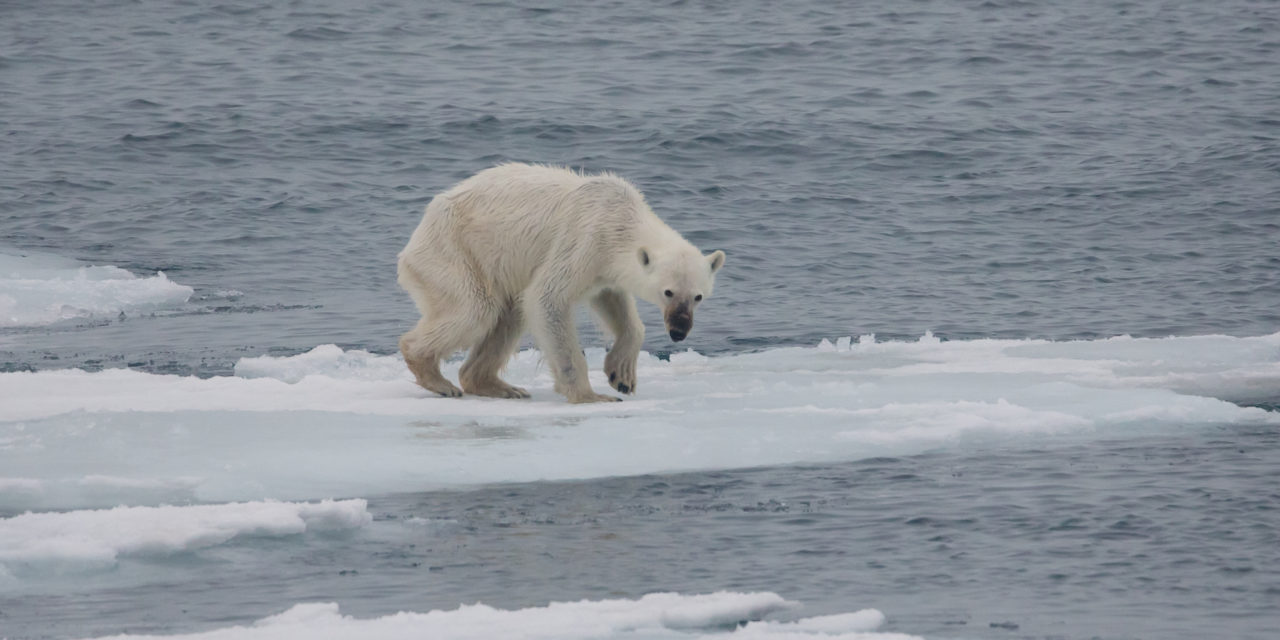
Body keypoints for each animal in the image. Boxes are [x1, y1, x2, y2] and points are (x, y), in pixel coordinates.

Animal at [394, 165, 727, 404]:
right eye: (668, 291)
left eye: (698, 296)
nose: (679, 331)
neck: (620, 218)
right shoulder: (584, 239)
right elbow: (547, 298)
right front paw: (592, 395)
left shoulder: (604, 267)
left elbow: (614, 302)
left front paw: (622, 375)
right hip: (454, 251)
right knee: (476, 309)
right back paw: (437, 378)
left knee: (509, 314)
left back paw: (500, 386)